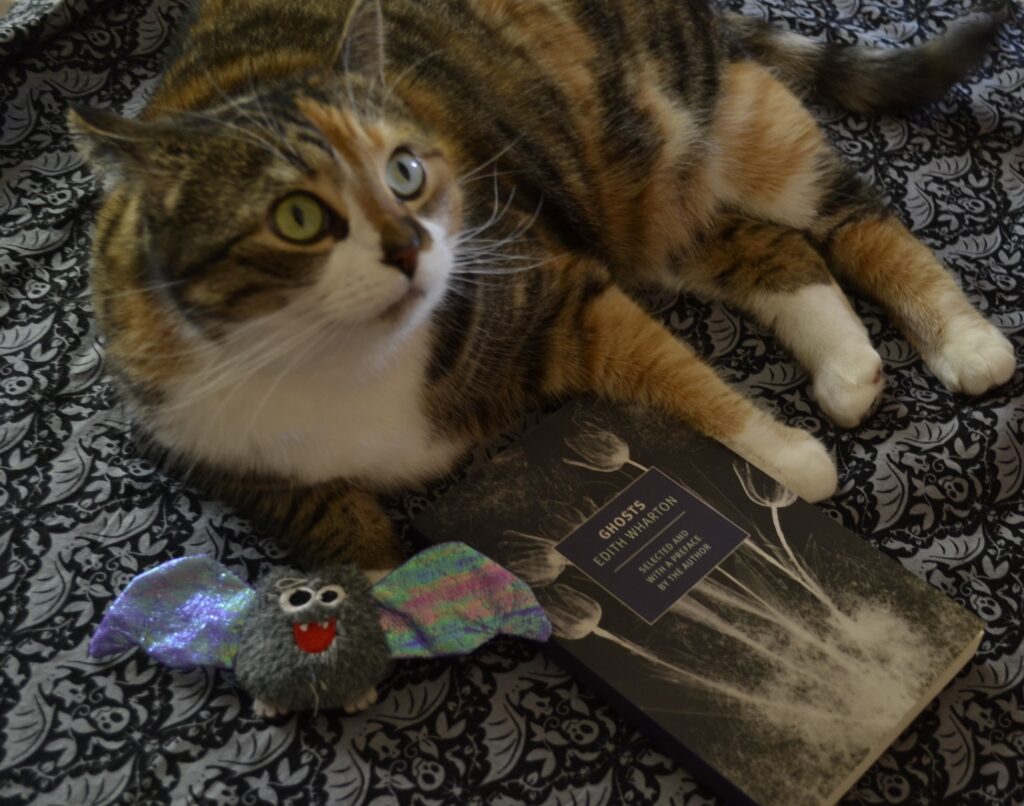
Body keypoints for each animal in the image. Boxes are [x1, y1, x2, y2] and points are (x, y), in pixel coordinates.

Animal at [70, 0, 1015, 573]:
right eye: (299, 217)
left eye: (406, 170)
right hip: (644, 207)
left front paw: (788, 462)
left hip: (722, 125)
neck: (344, 360)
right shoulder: (208, 451)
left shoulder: (555, 287)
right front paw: (378, 605)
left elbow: (684, 380)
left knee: (852, 216)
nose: (412, 247)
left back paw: (963, 341)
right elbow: (334, 533)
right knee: (772, 250)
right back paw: (848, 369)